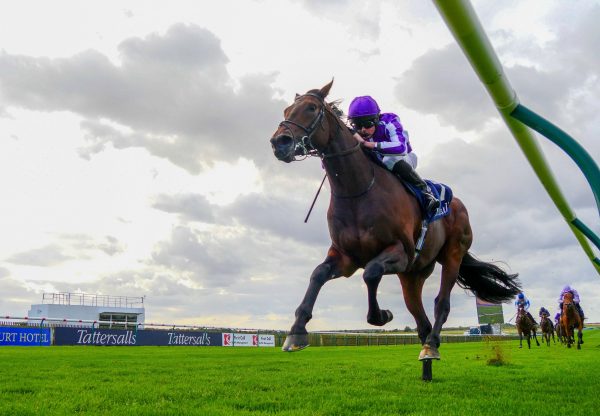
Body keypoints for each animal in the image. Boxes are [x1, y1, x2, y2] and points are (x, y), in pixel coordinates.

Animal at [268, 81, 520, 380]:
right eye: (286, 110)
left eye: (311, 108)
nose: (279, 142)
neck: (357, 190)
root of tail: (458, 204)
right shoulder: (345, 257)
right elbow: (318, 274)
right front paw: (296, 332)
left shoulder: (400, 252)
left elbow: (371, 273)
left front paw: (382, 315)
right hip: (412, 275)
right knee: (421, 320)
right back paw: (426, 367)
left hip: (452, 255)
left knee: (441, 304)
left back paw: (432, 346)